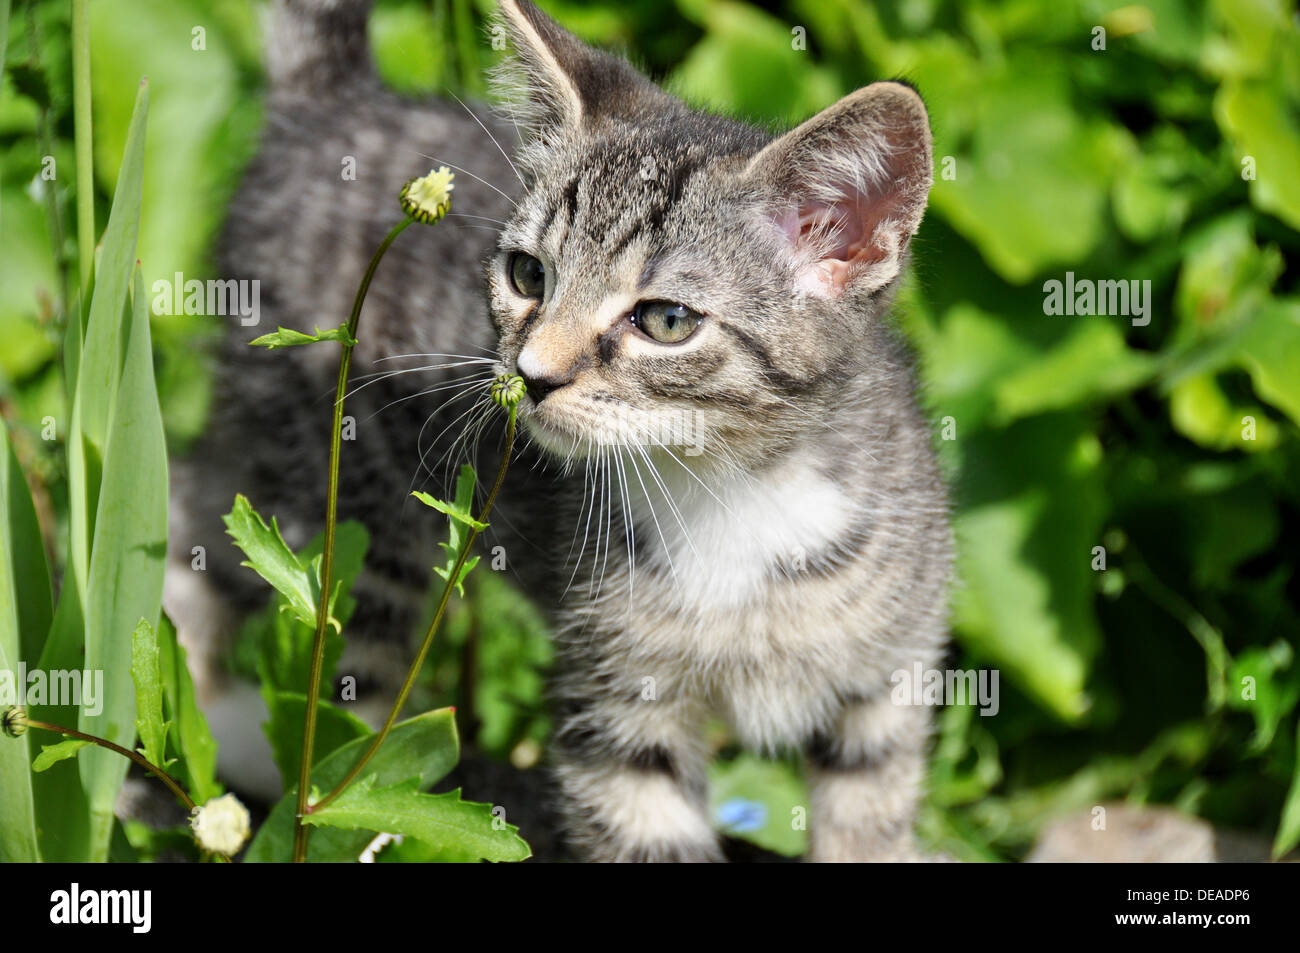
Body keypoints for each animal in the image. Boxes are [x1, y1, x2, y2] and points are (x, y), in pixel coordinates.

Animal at [167, 0, 951, 863]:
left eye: (666, 321)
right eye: (528, 275)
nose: (533, 373)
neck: (734, 491)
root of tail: (337, 100)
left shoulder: (888, 680)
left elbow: (868, 825)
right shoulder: (616, 705)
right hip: (338, 493)